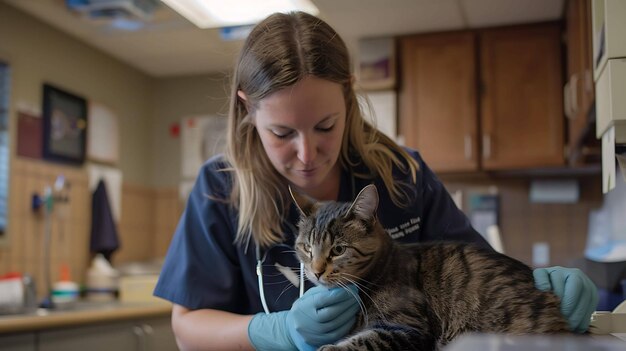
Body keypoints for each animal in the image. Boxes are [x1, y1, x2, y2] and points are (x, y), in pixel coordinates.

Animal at [290, 184, 568, 351]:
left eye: (338, 250)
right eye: (307, 248)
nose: (316, 271)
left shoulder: (408, 329)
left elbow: (365, 341)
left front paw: (329, 347)